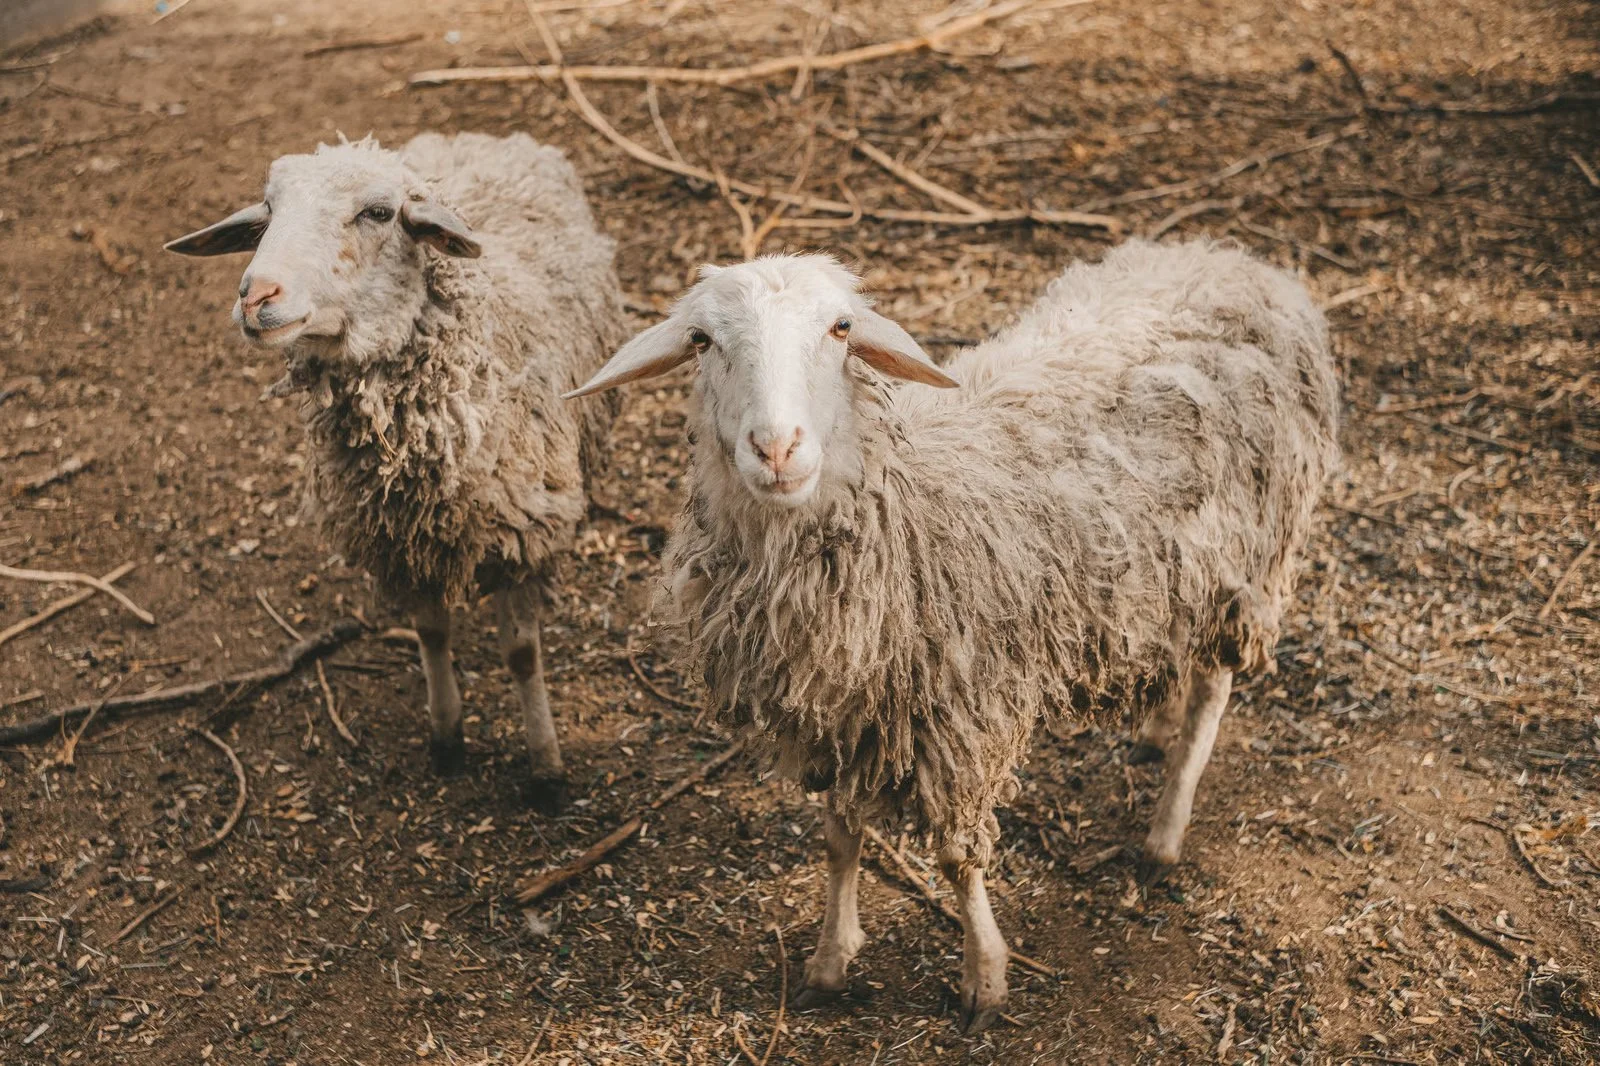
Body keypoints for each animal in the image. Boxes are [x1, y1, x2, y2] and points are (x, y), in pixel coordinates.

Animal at [166, 132, 626, 807]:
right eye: (269, 209)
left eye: (379, 214)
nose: (256, 296)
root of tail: (480, 137)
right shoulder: (400, 540)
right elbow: (431, 633)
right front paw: (446, 737)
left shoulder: (524, 534)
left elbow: (522, 655)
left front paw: (545, 768)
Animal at [564, 240, 1339, 1031]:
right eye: (701, 340)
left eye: (842, 328)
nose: (776, 449)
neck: (898, 501)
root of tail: (1233, 261)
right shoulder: (840, 715)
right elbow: (839, 837)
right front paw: (829, 960)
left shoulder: (963, 718)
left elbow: (957, 860)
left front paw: (984, 978)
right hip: (1170, 578)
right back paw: (1155, 728)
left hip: (1245, 561)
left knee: (1214, 688)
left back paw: (1165, 832)